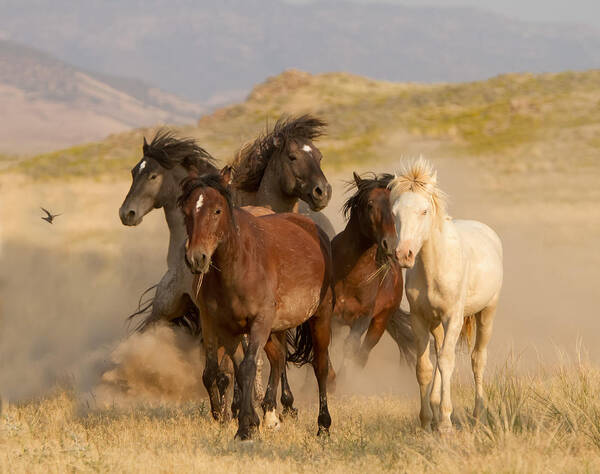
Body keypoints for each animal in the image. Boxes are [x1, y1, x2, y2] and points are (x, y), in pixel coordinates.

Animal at [178, 173, 338, 440]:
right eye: (187, 211)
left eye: (217, 210)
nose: (196, 258)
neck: (239, 267)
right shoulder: (222, 326)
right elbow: (222, 371)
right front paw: (239, 418)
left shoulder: (259, 323)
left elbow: (247, 367)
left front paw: (244, 428)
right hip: (274, 329)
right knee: (278, 359)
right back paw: (271, 416)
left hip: (319, 317)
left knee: (320, 367)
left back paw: (323, 425)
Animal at [330, 174, 414, 378]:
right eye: (370, 204)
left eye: (395, 208)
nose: (390, 244)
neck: (350, 277)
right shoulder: (331, 316)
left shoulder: (364, 318)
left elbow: (351, 347)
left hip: (380, 323)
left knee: (363, 355)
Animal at [390, 157, 502, 432]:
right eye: (394, 213)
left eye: (424, 211)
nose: (403, 254)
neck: (435, 266)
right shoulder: (420, 319)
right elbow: (426, 367)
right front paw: (426, 420)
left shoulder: (453, 318)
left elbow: (447, 362)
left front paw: (445, 423)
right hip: (436, 324)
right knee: (439, 353)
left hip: (487, 314)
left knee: (477, 359)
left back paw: (478, 415)